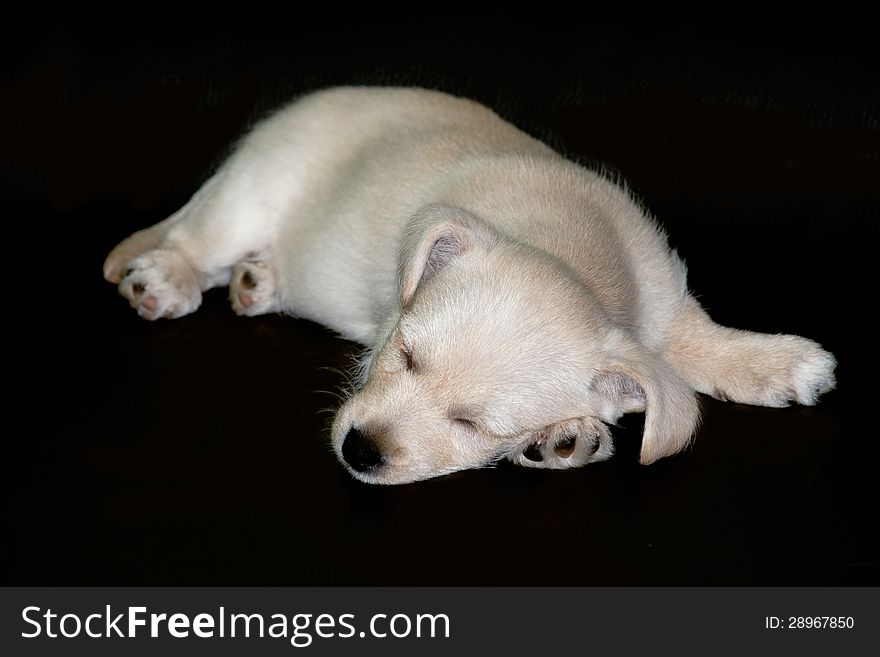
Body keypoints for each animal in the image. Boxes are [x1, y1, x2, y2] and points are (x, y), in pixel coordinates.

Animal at [105, 86, 840, 482]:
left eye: (475, 425)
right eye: (402, 356)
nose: (358, 450)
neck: (567, 247)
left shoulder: (663, 307)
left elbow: (702, 343)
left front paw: (779, 362)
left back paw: (260, 279)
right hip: (251, 194)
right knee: (196, 238)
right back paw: (169, 278)